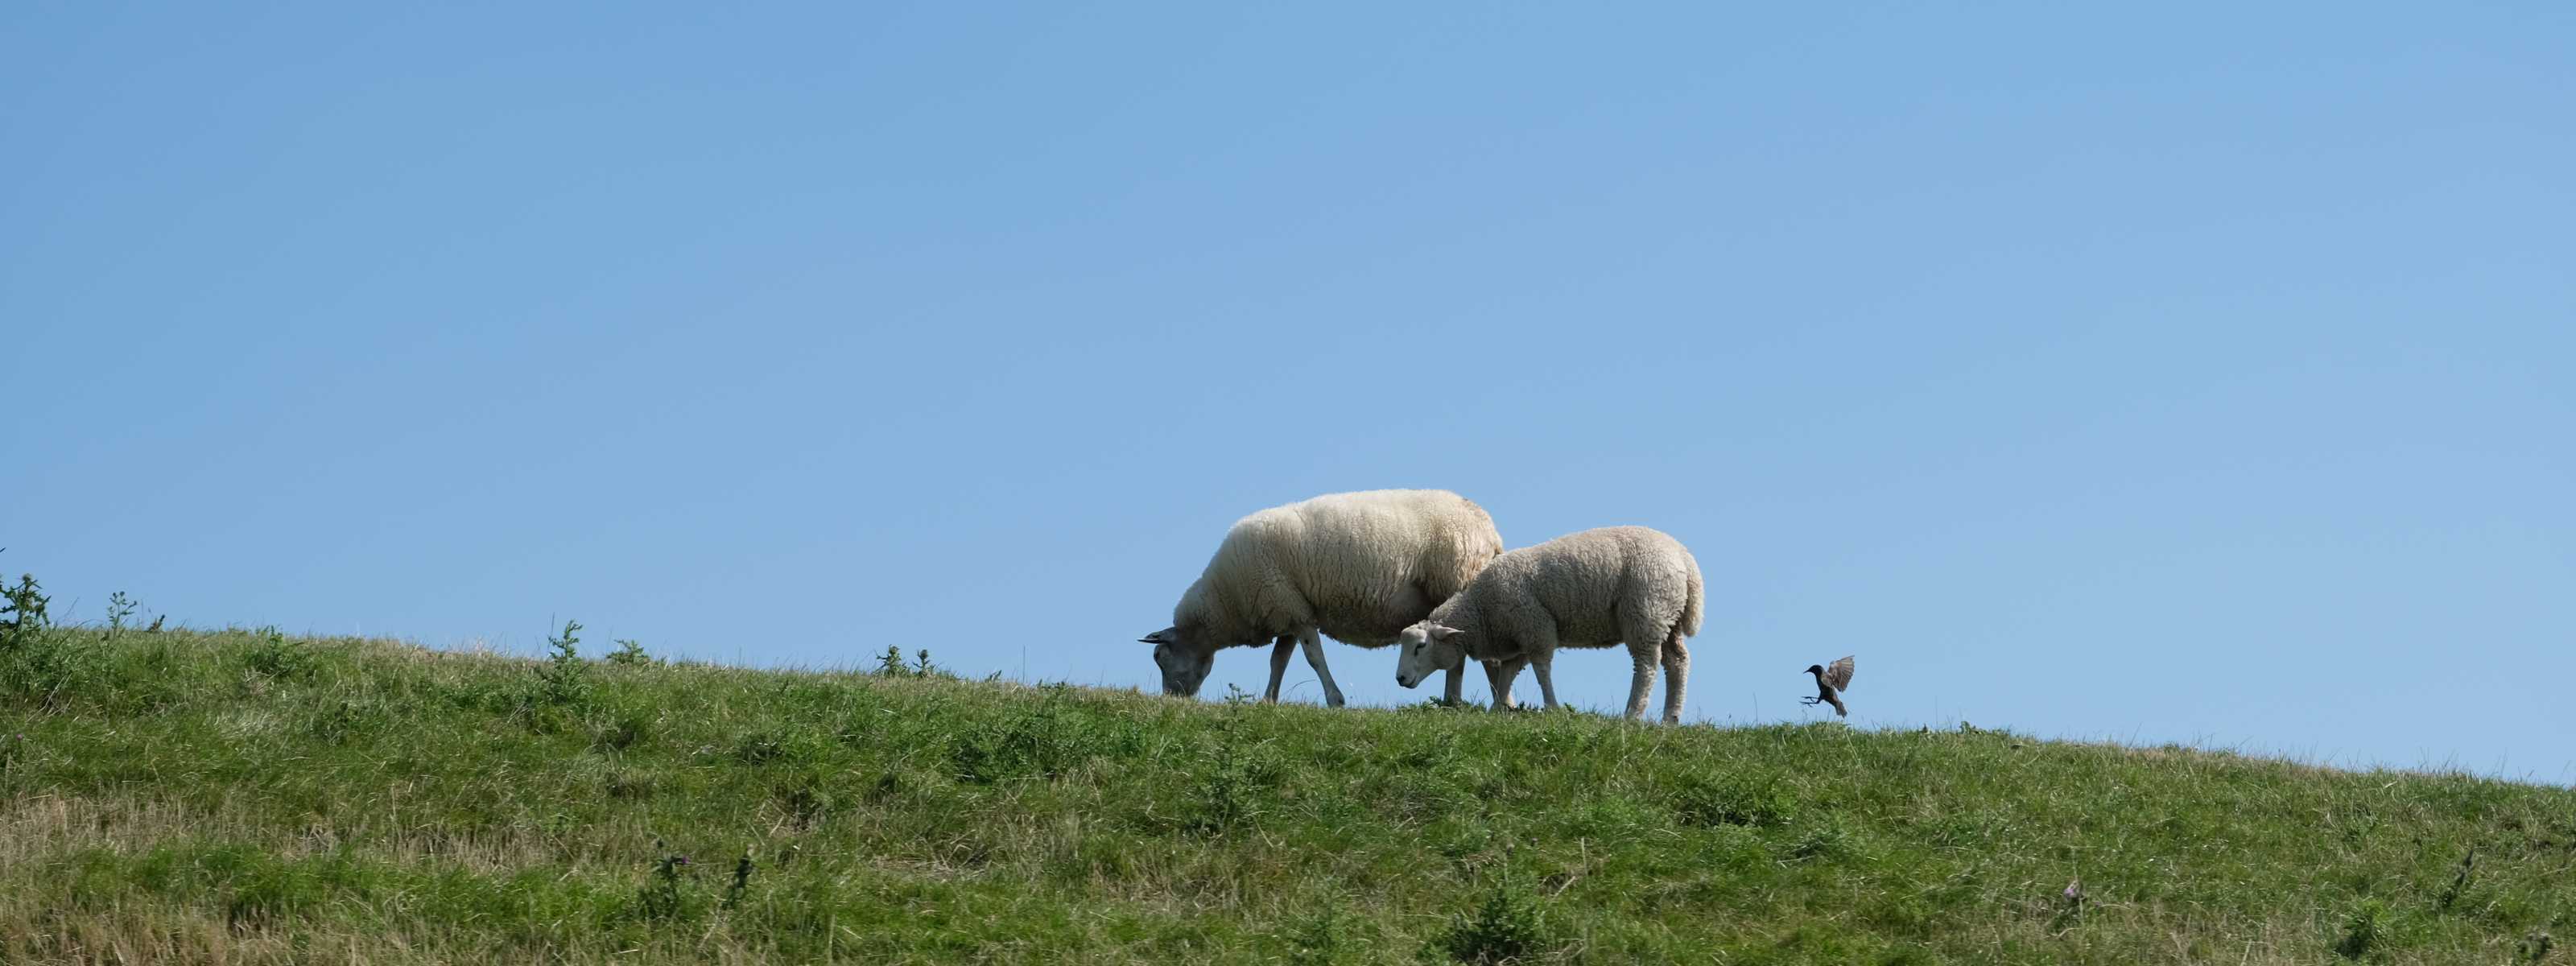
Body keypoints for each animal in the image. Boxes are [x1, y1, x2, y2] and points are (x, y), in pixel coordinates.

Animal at [1140, 489, 1504, 707]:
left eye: (1160, 658)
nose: (1170, 701)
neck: (1226, 599)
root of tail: (1490, 530)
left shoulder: (1294, 612)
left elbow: (1314, 658)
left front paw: (1335, 699)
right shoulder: (1287, 608)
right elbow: (1278, 661)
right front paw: (1268, 701)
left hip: (1458, 582)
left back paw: (1477, 703)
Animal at [1390, 525, 1703, 723]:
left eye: (1420, 646)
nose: (1400, 679)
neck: (1480, 607)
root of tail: (1686, 561)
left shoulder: (1535, 628)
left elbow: (1541, 671)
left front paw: (1552, 707)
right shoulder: (1517, 640)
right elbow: (1506, 676)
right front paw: (1498, 710)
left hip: (1645, 612)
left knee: (1647, 666)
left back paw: (1632, 714)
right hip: (1668, 618)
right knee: (1677, 662)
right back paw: (1670, 718)